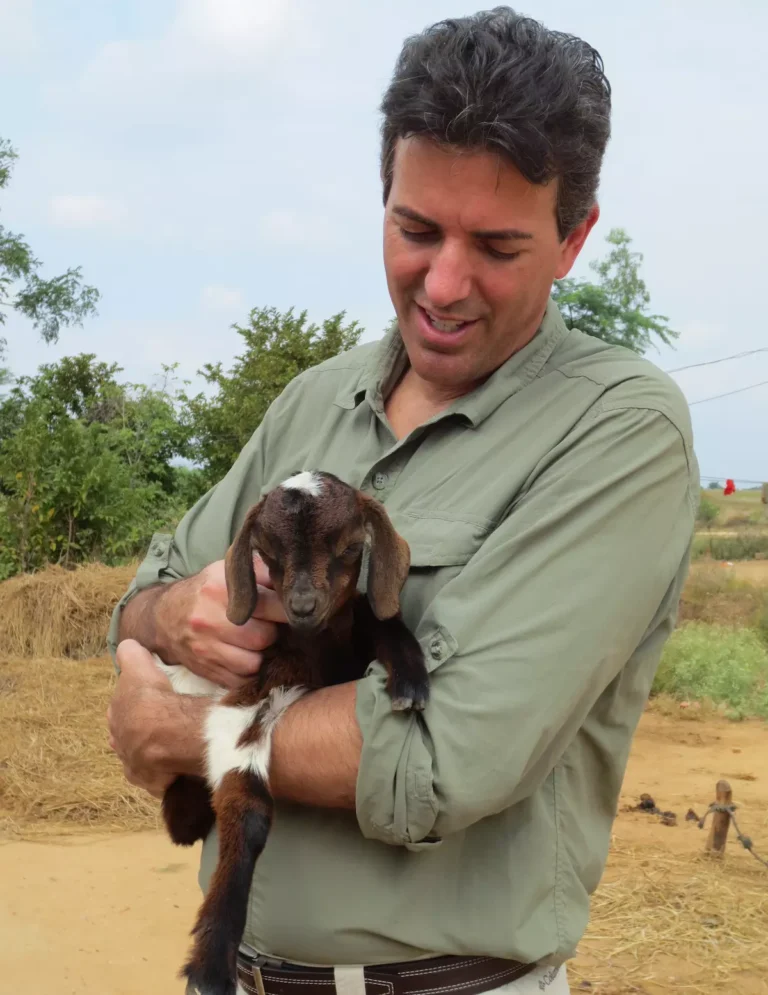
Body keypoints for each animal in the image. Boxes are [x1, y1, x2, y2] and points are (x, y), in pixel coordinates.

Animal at [154, 472, 432, 995]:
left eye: (350, 547)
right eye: (267, 552)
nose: (303, 605)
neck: (319, 648)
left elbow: (377, 613)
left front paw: (410, 678)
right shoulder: (252, 694)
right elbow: (249, 810)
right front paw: (211, 961)